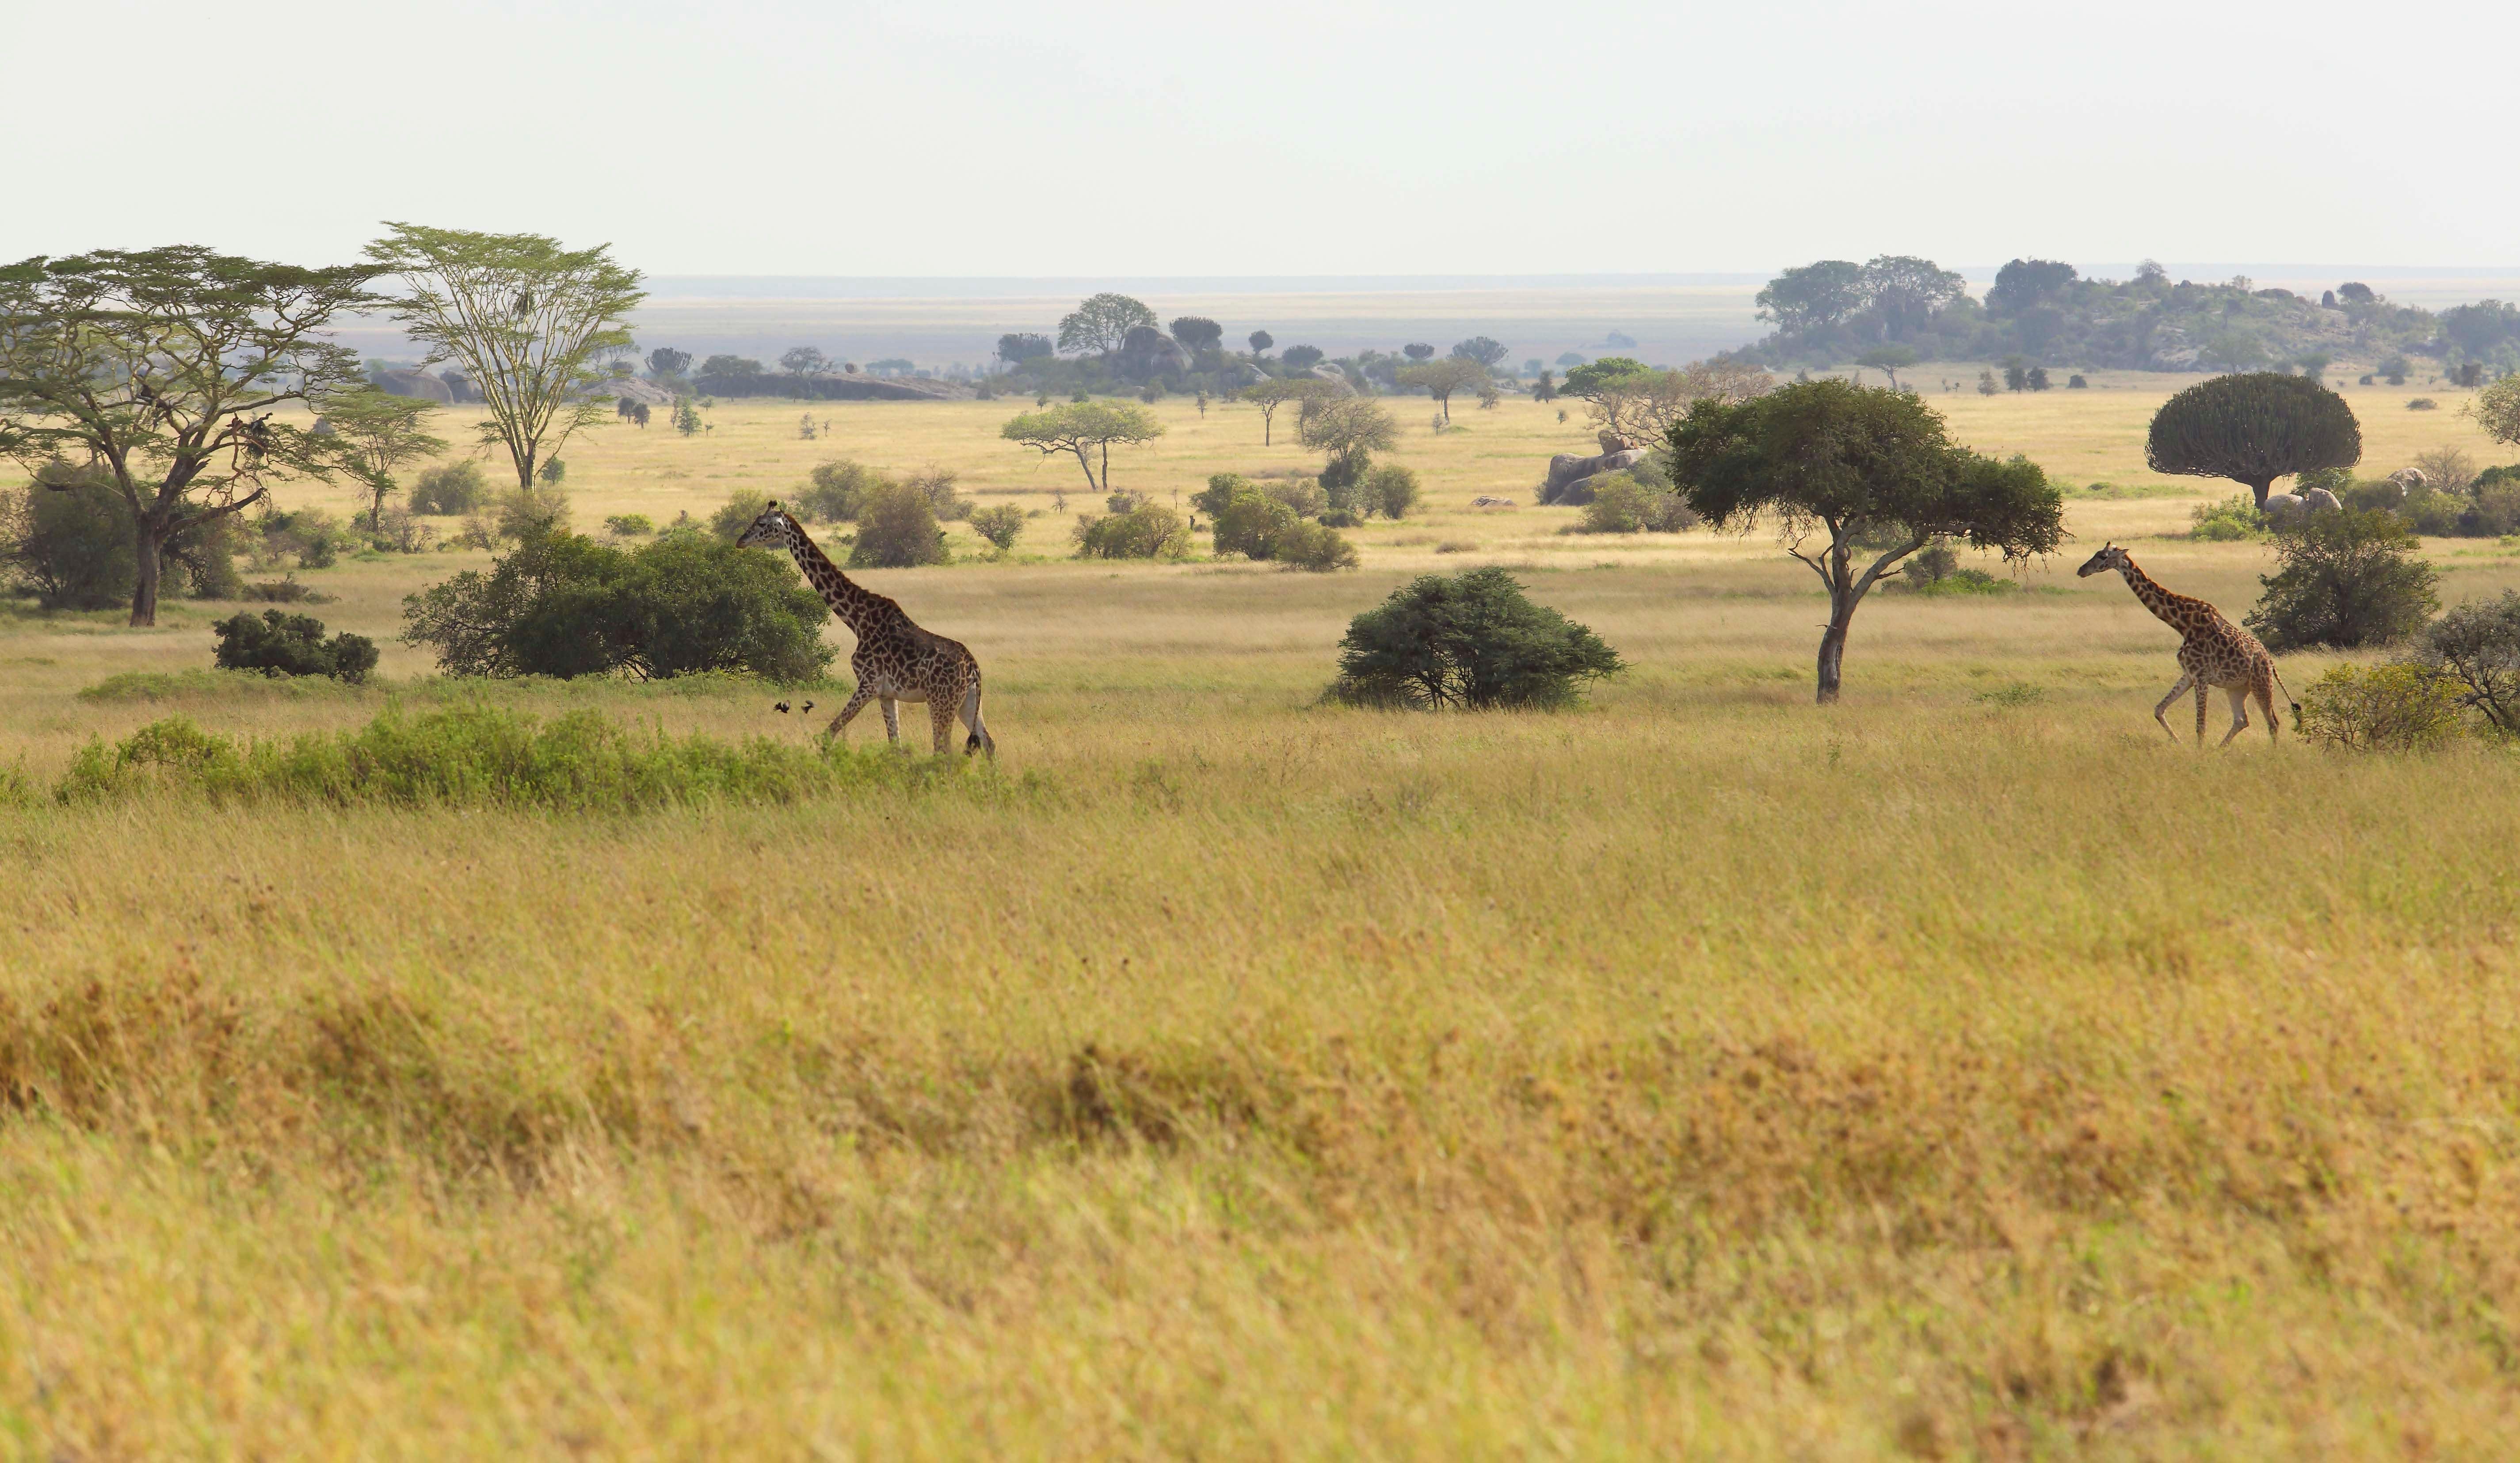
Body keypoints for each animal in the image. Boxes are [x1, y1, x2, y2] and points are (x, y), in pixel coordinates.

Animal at [736, 502, 994, 757]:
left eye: (762, 523)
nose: (740, 541)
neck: (857, 621)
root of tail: (974, 668)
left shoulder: (868, 684)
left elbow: (829, 733)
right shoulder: (887, 694)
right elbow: (895, 746)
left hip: (941, 701)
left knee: (944, 751)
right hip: (967, 702)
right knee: (987, 742)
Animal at [2077, 543, 2294, 747]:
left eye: (2103, 556)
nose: (2081, 570)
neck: (2183, 624)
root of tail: (2271, 662)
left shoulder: (2201, 676)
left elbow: (2201, 726)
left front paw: (2198, 753)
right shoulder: (2189, 675)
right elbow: (2159, 710)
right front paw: (2181, 744)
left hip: (2261, 683)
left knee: (2273, 722)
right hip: (2237, 688)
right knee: (2242, 720)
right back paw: (2220, 750)